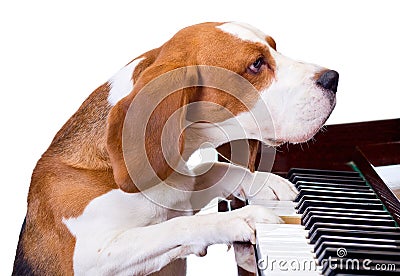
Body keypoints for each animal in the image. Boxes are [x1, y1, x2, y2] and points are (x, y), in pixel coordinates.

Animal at [13, 22, 338, 276]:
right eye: (256, 64)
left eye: (274, 46)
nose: (333, 78)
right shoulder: (90, 257)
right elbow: (173, 226)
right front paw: (239, 218)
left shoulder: (183, 189)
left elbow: (210, 168)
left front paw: (263, 182)